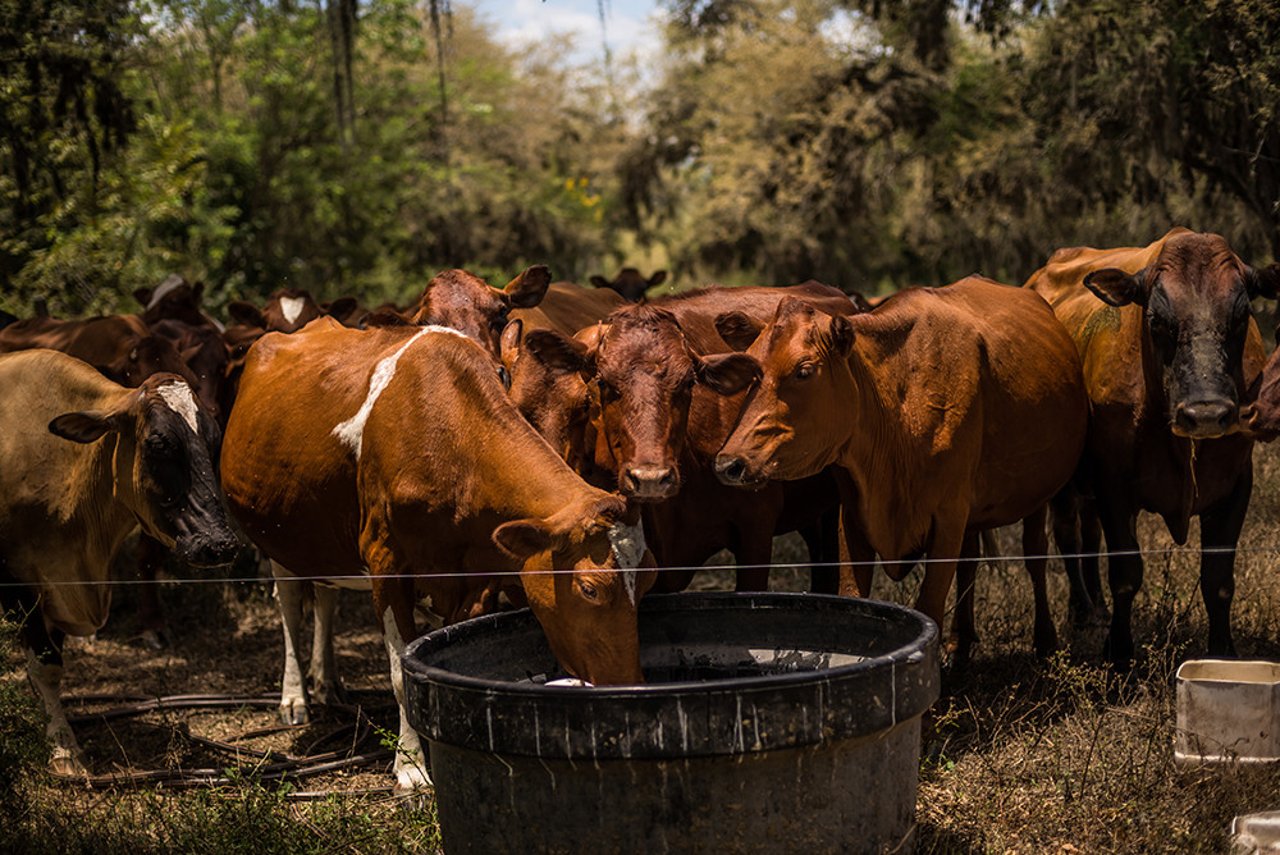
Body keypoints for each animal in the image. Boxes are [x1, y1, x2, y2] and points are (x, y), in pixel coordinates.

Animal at [0, 350, 238, 775]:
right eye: (157, 443)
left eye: (213, 439)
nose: (220, 544)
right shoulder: (17, 580)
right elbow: (45, 664)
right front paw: (64, 749)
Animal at [220, 318, 655, 792]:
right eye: (591, 589)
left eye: (648, 581)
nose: (627, 686)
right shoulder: (386, 563)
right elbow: (400, 675)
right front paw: (411, 767)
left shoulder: (476, 577)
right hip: (279, 539)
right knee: (289, 607)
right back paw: (295, 696)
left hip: (323, 541)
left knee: (327, 598)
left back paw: (328, 682)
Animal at [713, 278, 1089, 663]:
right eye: (751, 371)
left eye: (804, 370)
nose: (730, 463)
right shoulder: (854, 516)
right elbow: (854, 597)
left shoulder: (948, 517)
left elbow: (930, 604)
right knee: (969, 562)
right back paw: (961, 644)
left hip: (1036, 497)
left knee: (1035, 555)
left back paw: (1045, 641)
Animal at [1026, 228, 1276, 665]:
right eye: (1156, 319)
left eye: (1241, 315)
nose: (1206, 413)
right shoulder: (1113, 486)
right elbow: (1126, 573)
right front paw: (1119, 653)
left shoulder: (1235, 484)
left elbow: (1218, 579)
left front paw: (1223, 652)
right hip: (1063, 486)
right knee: (1068, 536)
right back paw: (1081, 611)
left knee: (1089, 536)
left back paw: (1096, 607)